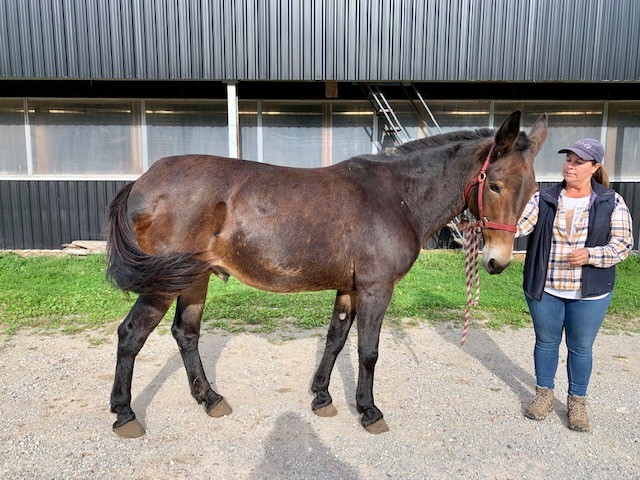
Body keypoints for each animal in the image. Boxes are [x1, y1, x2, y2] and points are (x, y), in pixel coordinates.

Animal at [106, 110, 548, 438]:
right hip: (163, 283)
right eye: (495, 185)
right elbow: (368, 351)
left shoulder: (349, 288)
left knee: (186, 334)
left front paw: (322, 398)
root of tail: (143, 182)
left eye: (531, 191)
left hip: (194, 278)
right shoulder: (375, 288)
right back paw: (125, 414)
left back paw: (210, 398)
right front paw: (369, 411)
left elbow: (335, 340)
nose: (497, 261)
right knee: (131, 335)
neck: (397, 196)